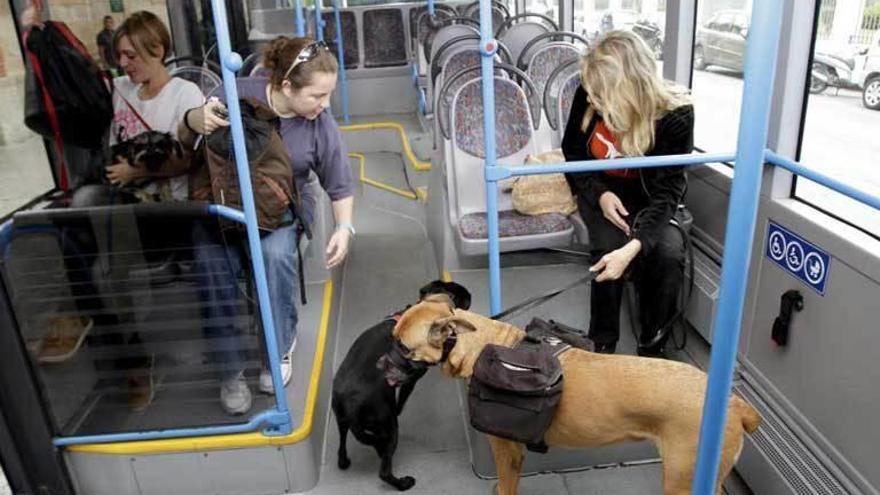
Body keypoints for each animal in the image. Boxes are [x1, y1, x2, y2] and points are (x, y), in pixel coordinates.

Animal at [330, 280, 470, 490]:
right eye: (458, 294)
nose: (469, 294)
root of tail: (351, 406)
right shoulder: (412, 379)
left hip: (342, 421)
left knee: (341, 447)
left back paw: (344, 461)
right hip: (389, 426)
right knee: (384, 470)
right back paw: (403, 483)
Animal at [392, 296, 764, 494]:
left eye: (404, 348)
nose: (383, 361)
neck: (482, 343)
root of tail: (734, 403)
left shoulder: (507, 454)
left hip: (682, 480)